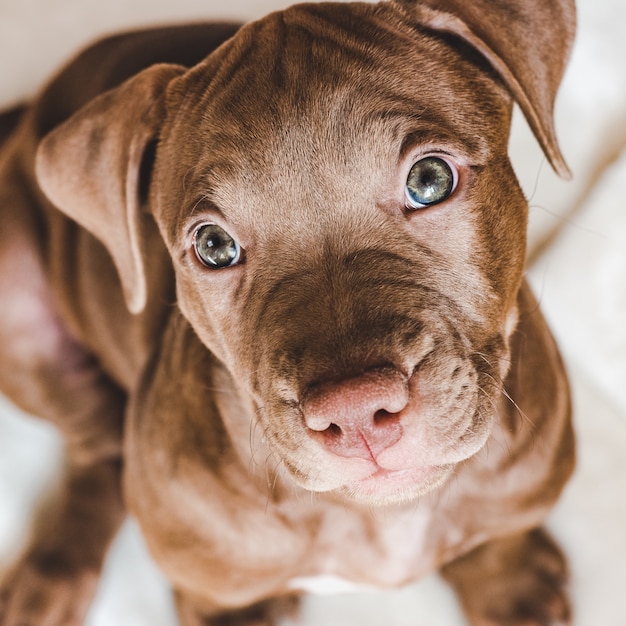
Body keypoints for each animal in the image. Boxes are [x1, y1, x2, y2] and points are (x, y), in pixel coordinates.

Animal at [0, 1, 576, 624]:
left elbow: (501, 534)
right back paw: (55, 573)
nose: (355, 410)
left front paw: (508, 583)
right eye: (214, 246)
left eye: (430, 179)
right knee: (98, 448)